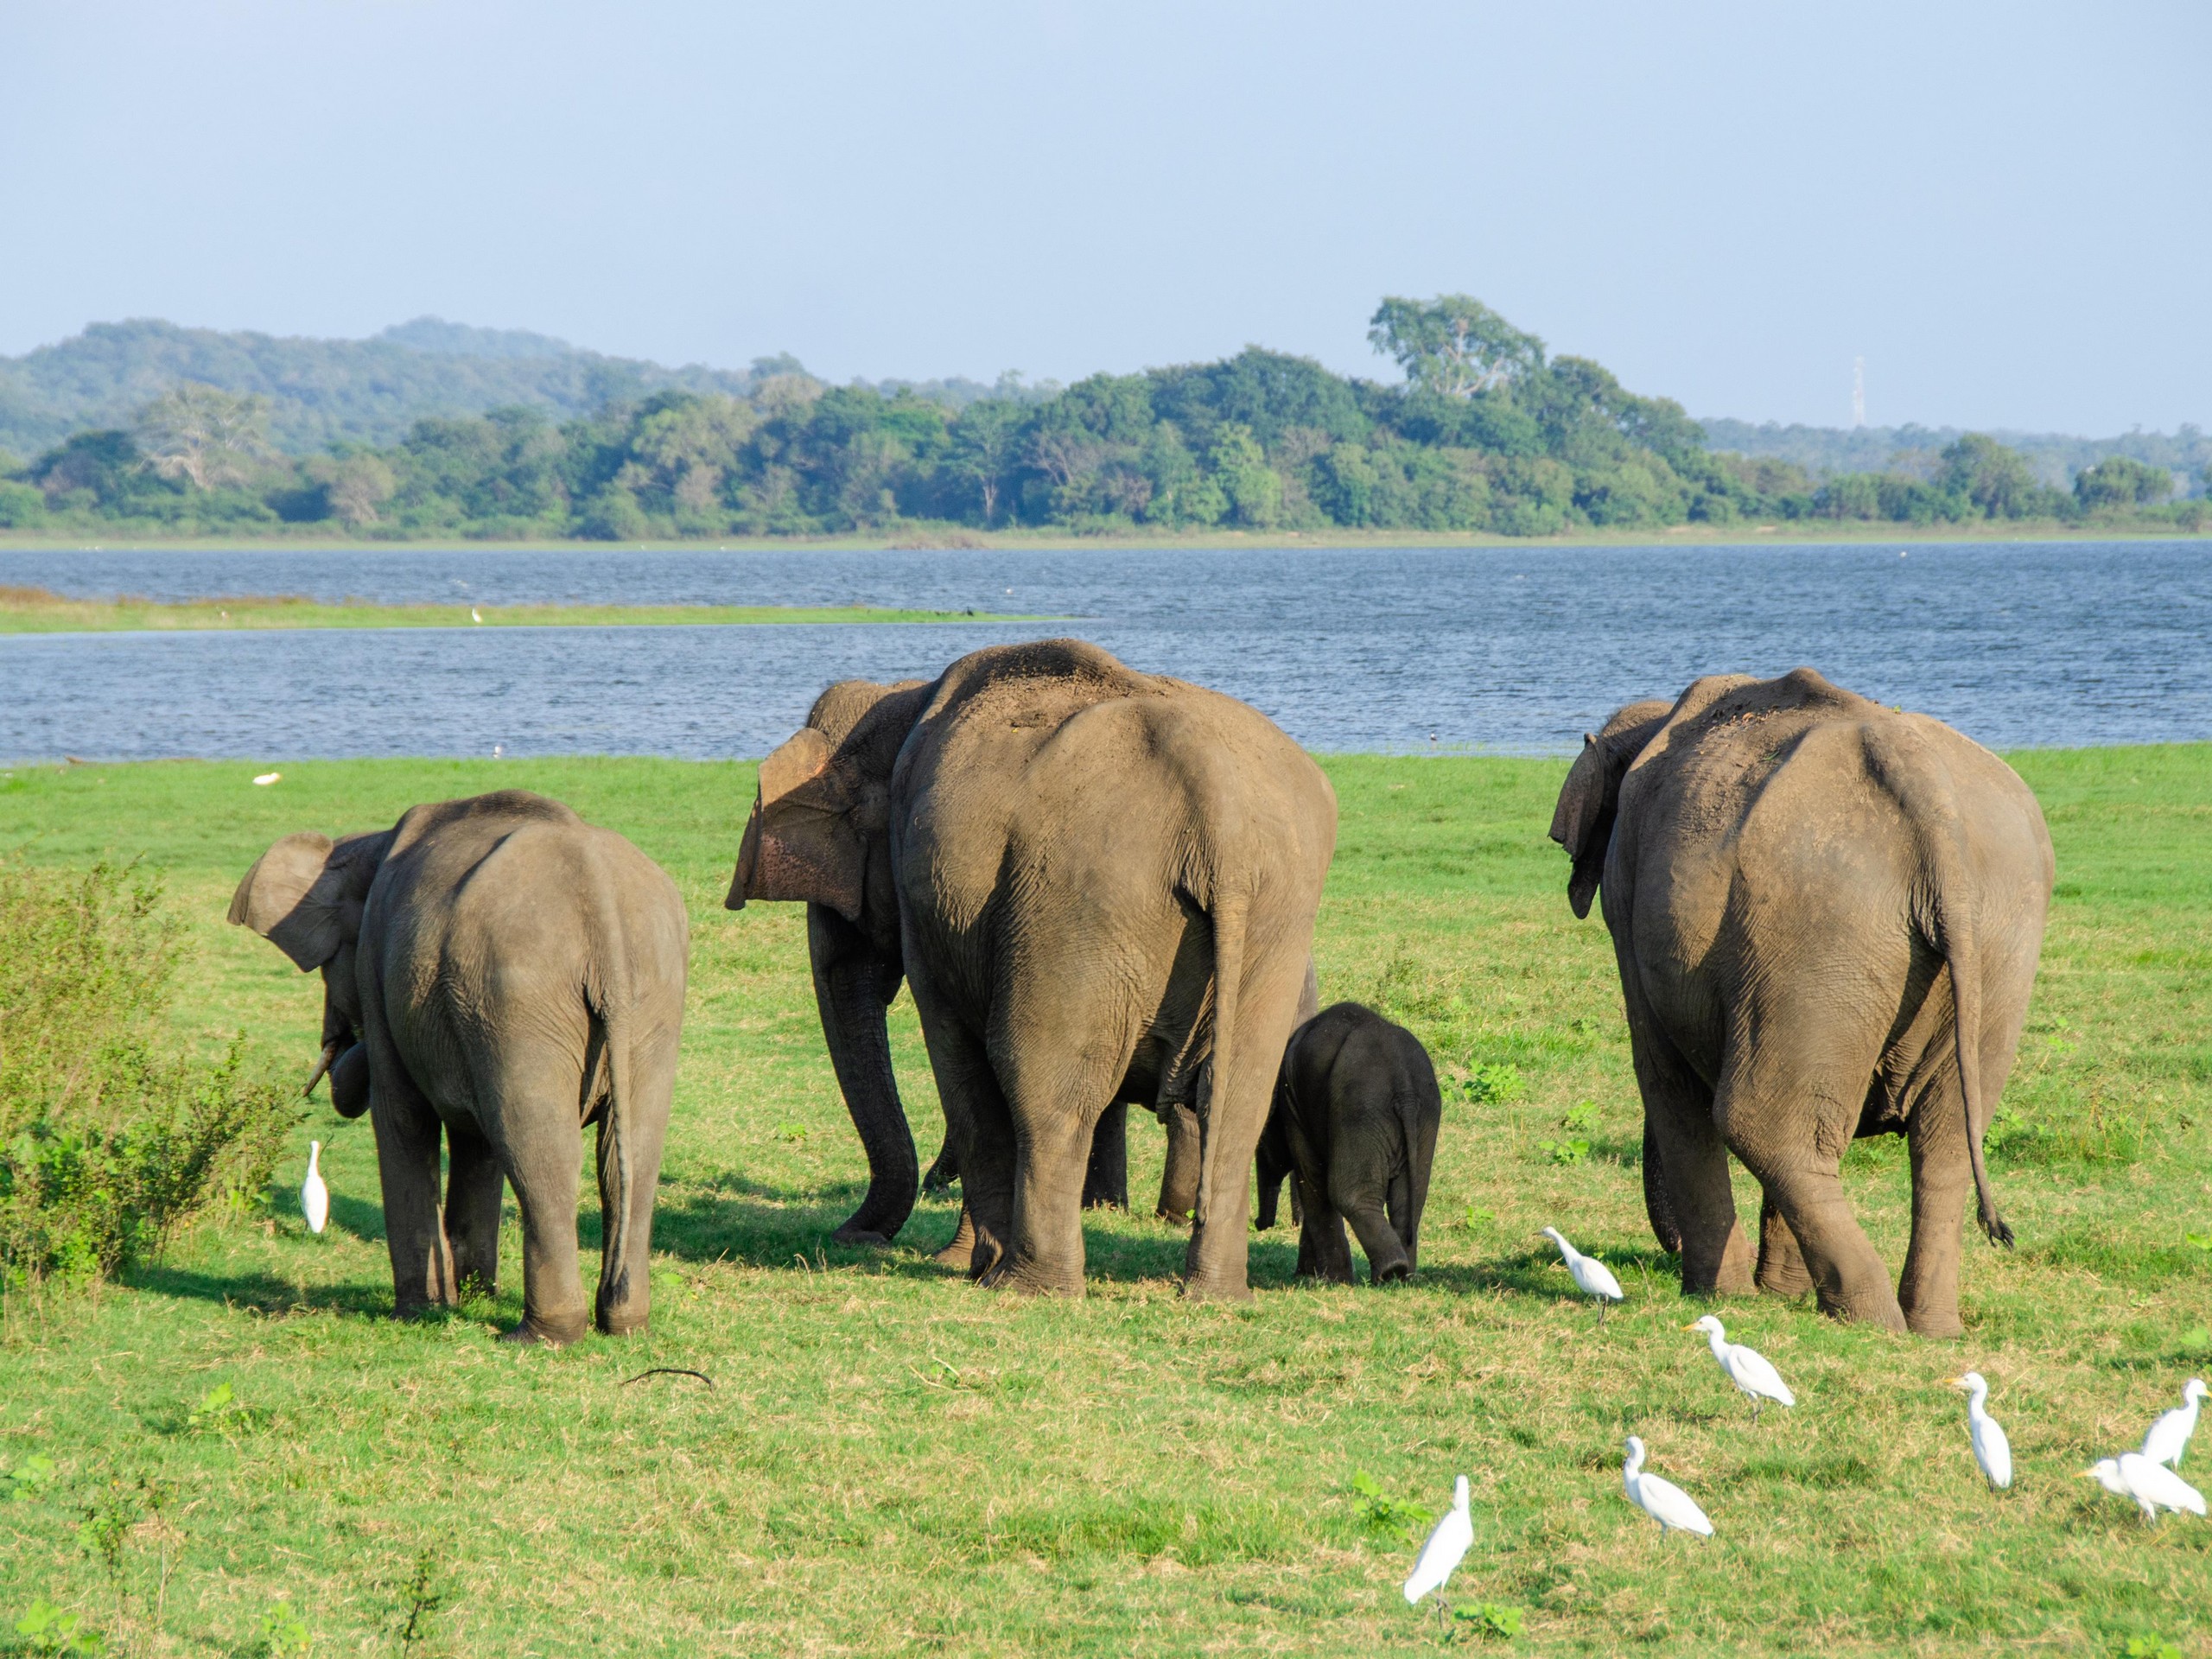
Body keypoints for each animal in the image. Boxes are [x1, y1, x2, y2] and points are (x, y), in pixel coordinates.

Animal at [228, 791, 685, 1353]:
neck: (366, 843)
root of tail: (599, 897)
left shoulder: (382, 970)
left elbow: (403, 1118)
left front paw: (421, 1312)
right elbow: (478, 1144)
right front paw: (474, 1297)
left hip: (518, 994)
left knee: (540, 1149)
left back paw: (538, 1337)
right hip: (648, 995)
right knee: (630, 1151)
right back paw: (625, 1325)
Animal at [734, 637, 1336, 1300]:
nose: (854, 1238)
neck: (900, 695)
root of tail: (1219, 812)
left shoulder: (928, 904)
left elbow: (958, 1057)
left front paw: (964, 1263)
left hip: (1077, 905)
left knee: (1043, 1085)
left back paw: (1026, 1286)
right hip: (1274, 917)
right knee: (1236, 1100)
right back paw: (1214, 1293)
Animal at [1256, 1000, 1442, 1282]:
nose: (1260, 1224)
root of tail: (1406, 1094)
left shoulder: (1295, 1108)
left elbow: (1312, 1179)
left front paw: (1324, 1279)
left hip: (1359, 1111)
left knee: (1348, 1193)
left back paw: (1389, 1271)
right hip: (1425, 1115)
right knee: (1410, 1199)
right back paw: (1403, 1276)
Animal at [1557, 668, 2052, 1336]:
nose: (1667, 1252)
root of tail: (1929, 794)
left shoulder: (1626, 900)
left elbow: (1665, 1078)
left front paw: (1721, 1296)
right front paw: (1776, 1293)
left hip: (1817, 927)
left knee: (1760, 1122)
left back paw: (1869, 1321)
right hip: (1993, 939)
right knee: (1940, 1139)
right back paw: (1929, 1327)